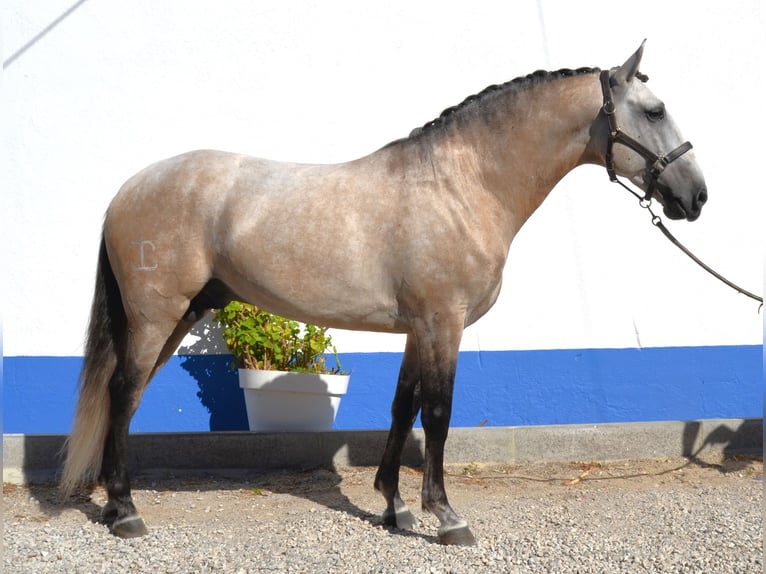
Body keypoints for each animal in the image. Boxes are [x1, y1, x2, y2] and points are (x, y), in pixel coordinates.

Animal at [61, 42, 708, 548]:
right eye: (654, 111)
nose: (696, 196)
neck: (462, 185)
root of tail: (128, 188)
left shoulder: (419, 328)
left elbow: (403, 407)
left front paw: (394, 507)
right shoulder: (444, 323)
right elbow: (438, 413)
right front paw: (446, 517)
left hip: (181, 313)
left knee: (127, 396)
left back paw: (116, 503)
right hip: (157, 314)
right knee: (122, 392)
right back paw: (125, 511)